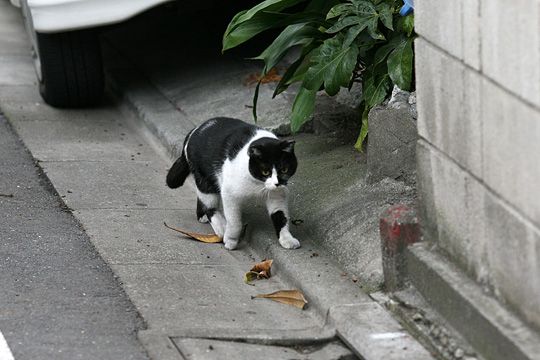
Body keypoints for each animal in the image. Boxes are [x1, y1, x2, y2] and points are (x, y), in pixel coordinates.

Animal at [166, 117, 300, 250]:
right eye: (265, 171)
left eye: (284, 170)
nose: (278, 183)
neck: (258, 183)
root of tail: (194, 131)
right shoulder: (229, 193)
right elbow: (234, 222)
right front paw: (230, 240)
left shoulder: (277, 195)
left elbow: (281, 216)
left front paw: (287, 239)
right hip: (204, 179)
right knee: (210, 206)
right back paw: (221, 227)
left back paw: (202, 216)